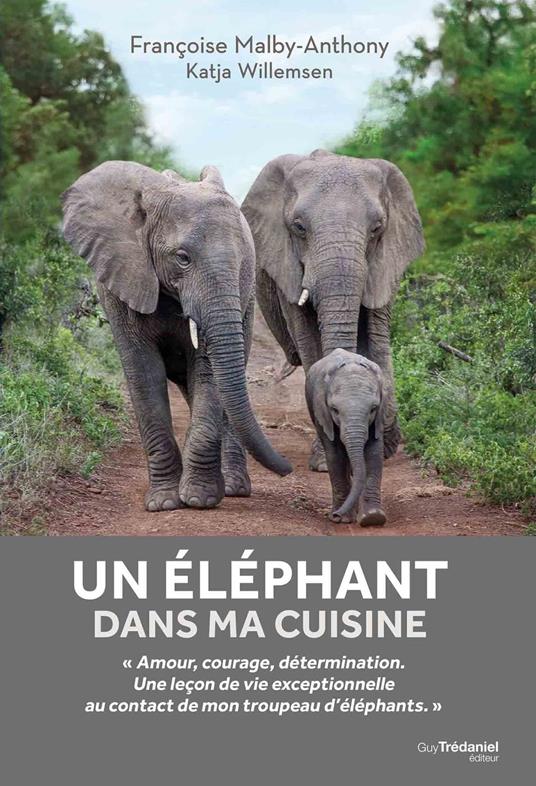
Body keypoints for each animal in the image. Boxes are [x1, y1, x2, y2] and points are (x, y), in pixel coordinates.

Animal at [62, 160, 291, 512]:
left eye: (243, 262)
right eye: (182, 258)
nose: (288, 470)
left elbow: (207, 372)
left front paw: (198, 499)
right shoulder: (120, 282)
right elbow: (144, 374)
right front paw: (163, 503)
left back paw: (234, 488)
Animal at [242, 149, 424, 470]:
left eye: (377, 228)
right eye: (299, 227)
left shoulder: (385, 261)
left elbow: (377, 340)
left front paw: (384, 446)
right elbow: (310, 342)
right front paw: (326, 461)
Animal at [305, 349, 386, 525]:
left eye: (373, 409)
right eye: (334, 410)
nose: (336, 515)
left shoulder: (379, 418)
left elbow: (374, 453)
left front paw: (373, 517)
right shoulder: (323, 412)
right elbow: (335, 456)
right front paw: (343, 519)